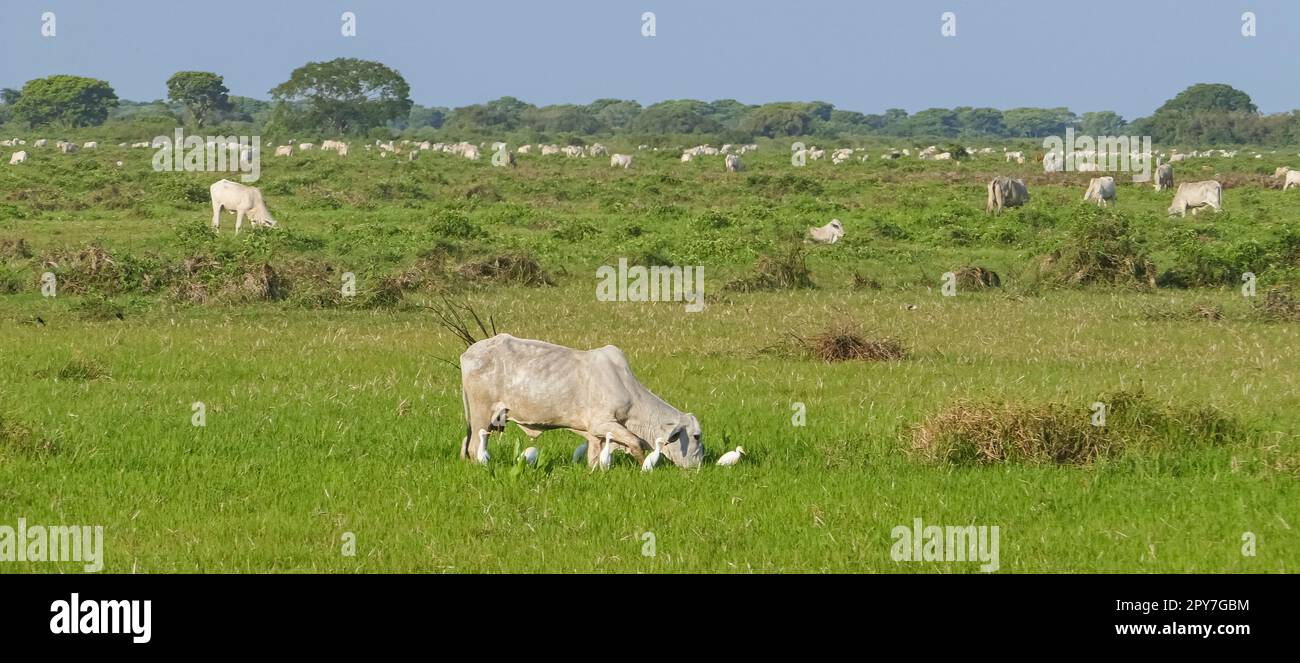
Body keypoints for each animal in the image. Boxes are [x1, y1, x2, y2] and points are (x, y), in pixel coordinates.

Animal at [457, 332, 702, 467]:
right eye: (696, 436)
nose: (699, 466)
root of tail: (469, 352)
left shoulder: (595, 433)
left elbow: (595, 456)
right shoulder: (603, 423)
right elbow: (636, 443)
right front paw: (644, 467)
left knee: (467, 443)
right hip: (481, 414)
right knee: (475, 447)